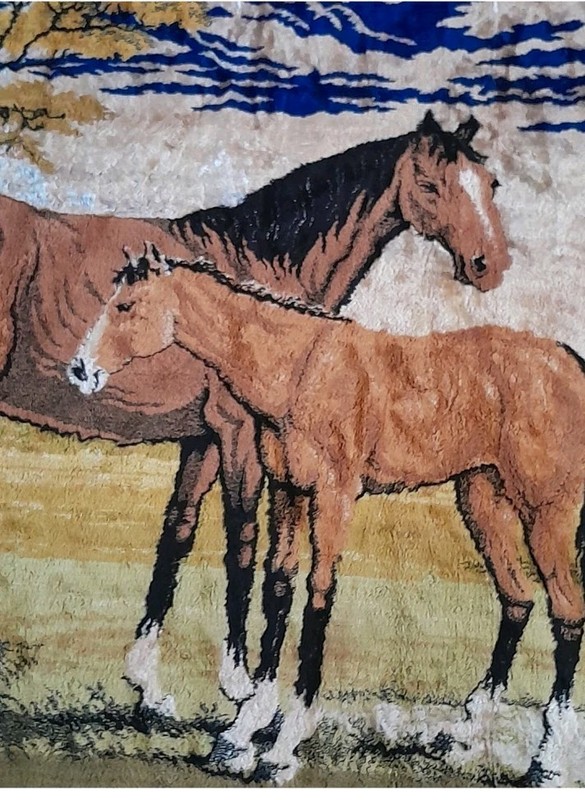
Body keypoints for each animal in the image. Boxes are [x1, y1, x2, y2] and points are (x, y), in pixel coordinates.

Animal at [0, 111, 509, 715]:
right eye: (431, 185)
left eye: (490, 183)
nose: (489, 266)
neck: (258, 271)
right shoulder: (239, 434)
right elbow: (243, 544)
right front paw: (240, 682)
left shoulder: (201, 440)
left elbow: (177, 534)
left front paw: (147, 682)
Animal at [71, 245, 585, 787]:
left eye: (125, 306)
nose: (81, 369)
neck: (301, 368)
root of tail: (567, 362)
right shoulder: (288, 491)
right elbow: (277, 588)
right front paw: (242, 732)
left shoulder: (333, 497)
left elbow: (319, 597)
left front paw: (284, 742)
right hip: (481, 500)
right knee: (518, 600)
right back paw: (464, 731)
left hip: (545, 513)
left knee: (567, 613)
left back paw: (547, 761)